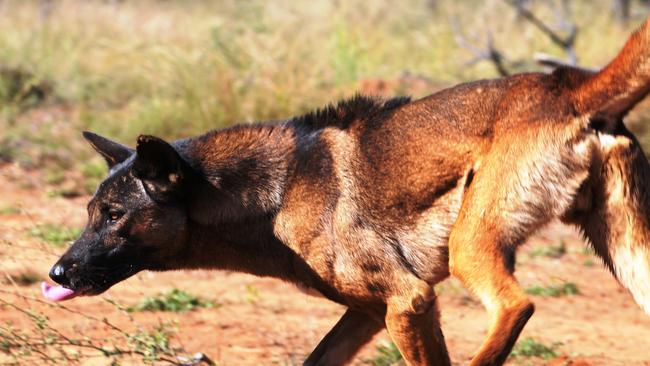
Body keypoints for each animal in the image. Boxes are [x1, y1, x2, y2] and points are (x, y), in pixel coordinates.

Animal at [44, 17, 648, 366]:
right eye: (90, 212)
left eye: (113, 215)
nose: (56, 273)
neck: (277, 195)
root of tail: (569, 84)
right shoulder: (370, 313)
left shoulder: (410, 300)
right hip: (626, 256)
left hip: (471, 247)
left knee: (517, 305)